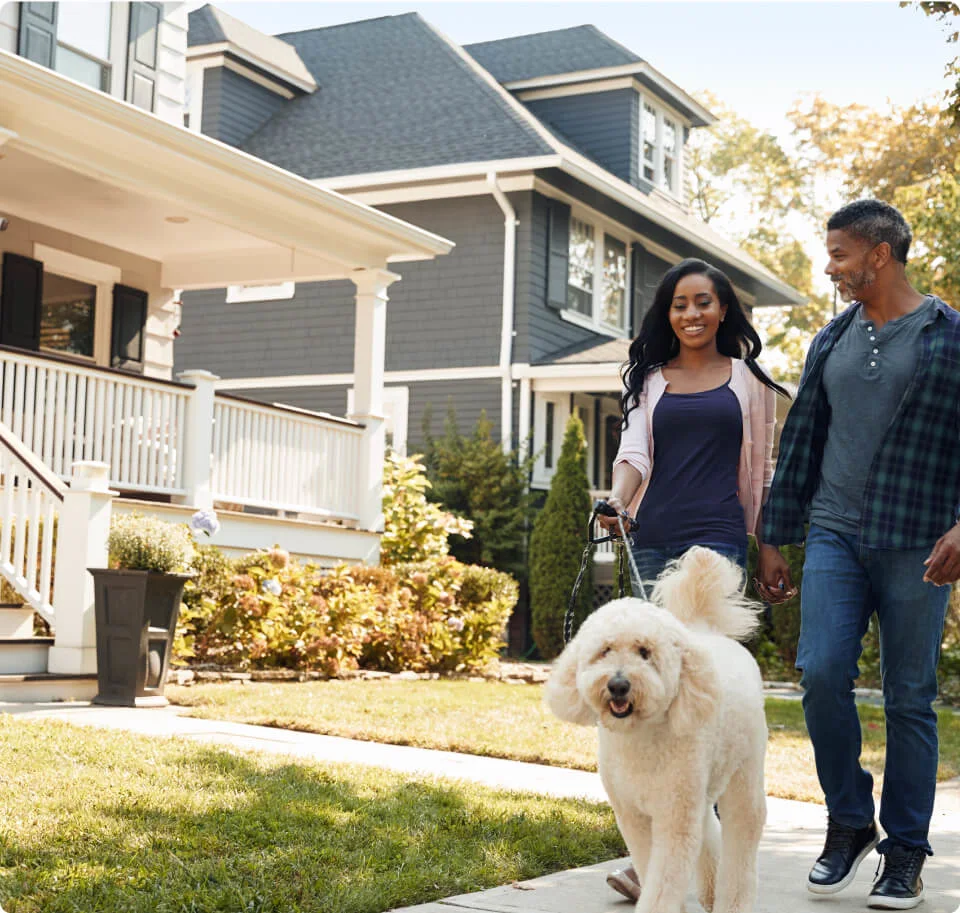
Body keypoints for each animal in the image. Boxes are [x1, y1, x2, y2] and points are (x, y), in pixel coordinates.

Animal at [548, 544, 764, 912]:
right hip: (700, 787)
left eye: (644, 652)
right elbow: (649, 867)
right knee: (709, 826)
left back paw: (730, 901)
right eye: (605, 650)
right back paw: (709, 891)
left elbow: (663, 880)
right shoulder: (633, 815)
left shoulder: (673, 818)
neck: (641, 737)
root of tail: (706, 631)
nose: (618, 685)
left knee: (743, 832)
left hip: (743, 772)